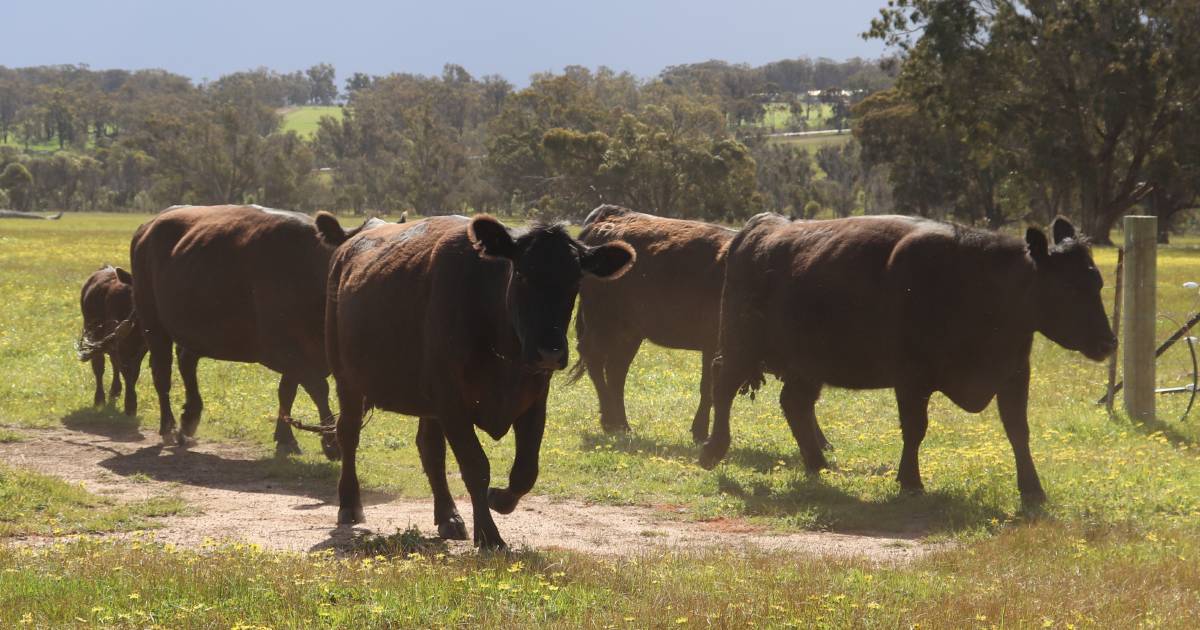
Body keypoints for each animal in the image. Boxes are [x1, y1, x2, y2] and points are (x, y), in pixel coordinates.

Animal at [76, 264, 145, 415]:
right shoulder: (121, 345)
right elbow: (127, 371)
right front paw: (130, 405)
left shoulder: (142, 348)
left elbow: (134, 372)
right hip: (94, 334)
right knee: (99, 367)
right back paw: (99, 399)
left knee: (113, 363)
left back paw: (115, 390)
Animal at [130, 206, 379, 456]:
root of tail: (148, 226)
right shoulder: (285, 349)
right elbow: (318, 389)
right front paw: (330, 441)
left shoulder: (300, 353)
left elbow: (287, 391)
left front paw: (285, 437)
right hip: (152, 322)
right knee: (162, 373)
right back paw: (168, 427)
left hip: (195, 329)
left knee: (186, 362)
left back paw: (189, 418)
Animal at [319, 212, 638, 544]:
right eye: (521, 274)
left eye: (575, 281)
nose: (549, 351)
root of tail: (349, 244)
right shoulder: (451, 401)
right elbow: (475, 466)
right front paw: (488, 534)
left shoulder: (534, 399)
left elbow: (526, 471)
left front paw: (498, 499)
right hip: (347, 379)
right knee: (348, 434)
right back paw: (349, 504)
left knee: (430, 450)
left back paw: (448, 516)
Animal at [571, 202, 835, 446]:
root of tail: (608, 216)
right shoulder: (715, 347)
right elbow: (708, 389)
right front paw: (701, 432)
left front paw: (822, 440)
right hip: (602, 322)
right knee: (594, 358)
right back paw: (610, 420)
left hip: (630, 332)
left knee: (616, 371)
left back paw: (621, 424)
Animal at [700, 213, 1118, 504]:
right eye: (1068, 287)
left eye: (1096, 282)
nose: (1109, 342)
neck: (979, 284)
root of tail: (759, 228)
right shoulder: (911, 377)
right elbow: (915, 428)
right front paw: (911, 482)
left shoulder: (1014, 373)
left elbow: (1019, 431)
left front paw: (1032, 490)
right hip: (739, 346)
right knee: (723, 386)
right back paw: (713, 449)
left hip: (807, 364)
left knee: (795, 404)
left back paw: (818, 464)